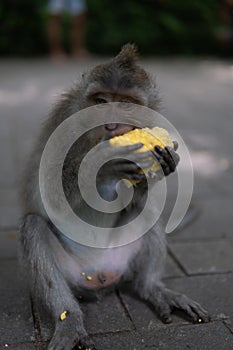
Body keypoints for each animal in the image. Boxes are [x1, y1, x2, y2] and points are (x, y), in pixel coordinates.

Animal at [19, 44, 209, 350]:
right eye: (100, 101)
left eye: (126, 103)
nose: (109, 126)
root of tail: (100, 275)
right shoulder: (62, 120)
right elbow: (43, 196)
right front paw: (103, 167)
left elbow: (141, 201)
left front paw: (163, 165)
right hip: (73, 275)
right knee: (33, 226)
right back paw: (69, 319)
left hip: (121, 261)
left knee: (149, 215)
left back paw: (152, 288)